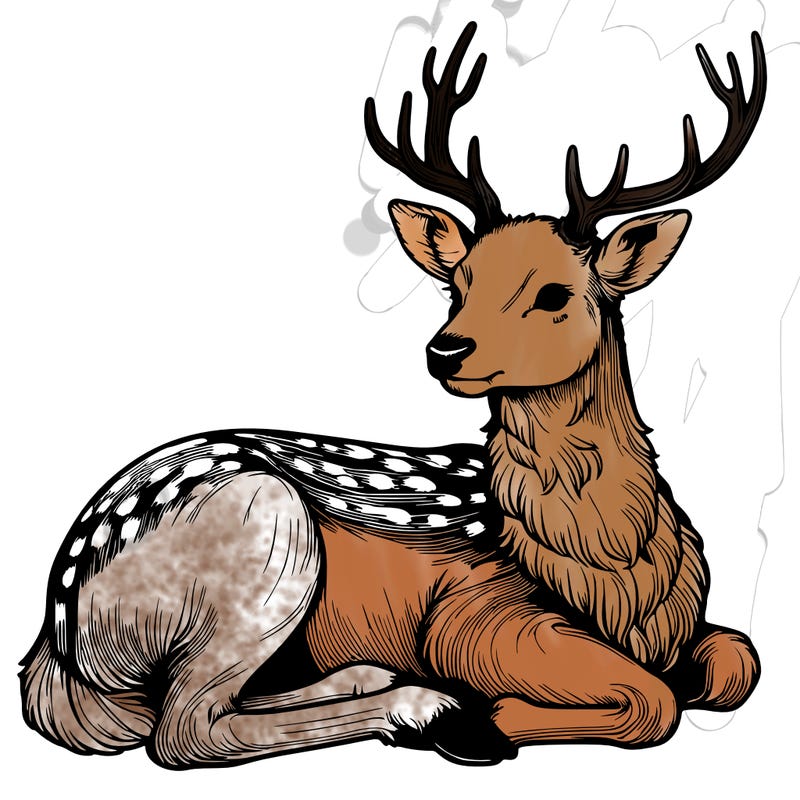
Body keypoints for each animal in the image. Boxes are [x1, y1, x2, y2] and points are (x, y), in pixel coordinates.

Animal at [20, 22, 765, 769]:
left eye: (555, 293)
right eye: (458, 283)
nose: (446, 348)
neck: (617, 578)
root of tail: (55, 640)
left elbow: (738, 660)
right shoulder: (475, 613)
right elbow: (653, 700)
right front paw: (489, 716)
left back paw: (374, 677)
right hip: (267, 537)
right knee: (183, 727)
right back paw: (429, 709)